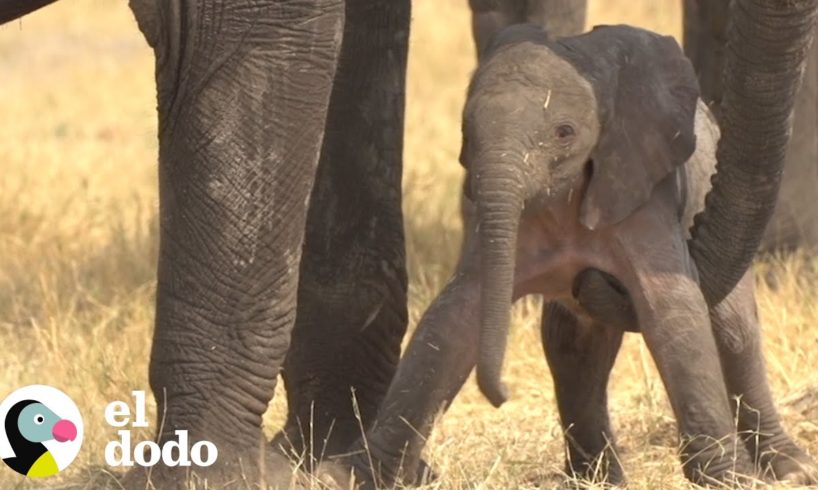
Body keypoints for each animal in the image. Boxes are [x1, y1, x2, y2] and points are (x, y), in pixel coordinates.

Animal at [316, 9, 818, 489]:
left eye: (564, 132)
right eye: (467, 131)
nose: (501, 396)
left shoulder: (642, 198)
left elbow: (671, 310)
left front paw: (730, 479)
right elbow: (455, 315)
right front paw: (348, 477)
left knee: (733, 330)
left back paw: (790, 470)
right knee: (571, 345)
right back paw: (596, 478)